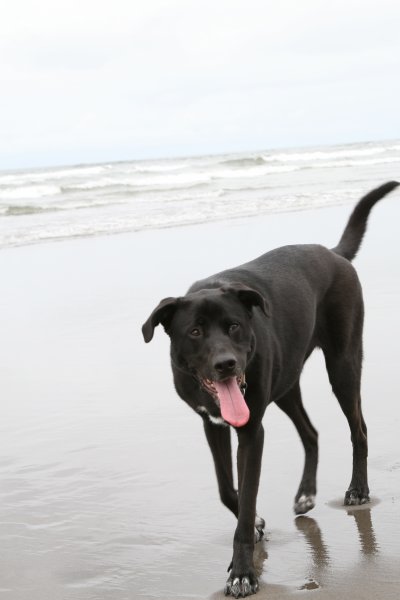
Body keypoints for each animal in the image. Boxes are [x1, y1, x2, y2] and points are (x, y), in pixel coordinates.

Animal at [142, 181, 399, 597]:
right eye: (194, 331)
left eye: (234, 326)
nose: (226, 364)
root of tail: (334, 253)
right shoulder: (212, 424)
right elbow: (226, 488)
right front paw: (259, 526)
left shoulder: (250, 430)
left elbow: (246, 498)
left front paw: (243, 571)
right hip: (285, 385)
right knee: (311, 432)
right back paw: (306, 494)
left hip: (342, 364)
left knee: (358, 428)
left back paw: (358, 490)